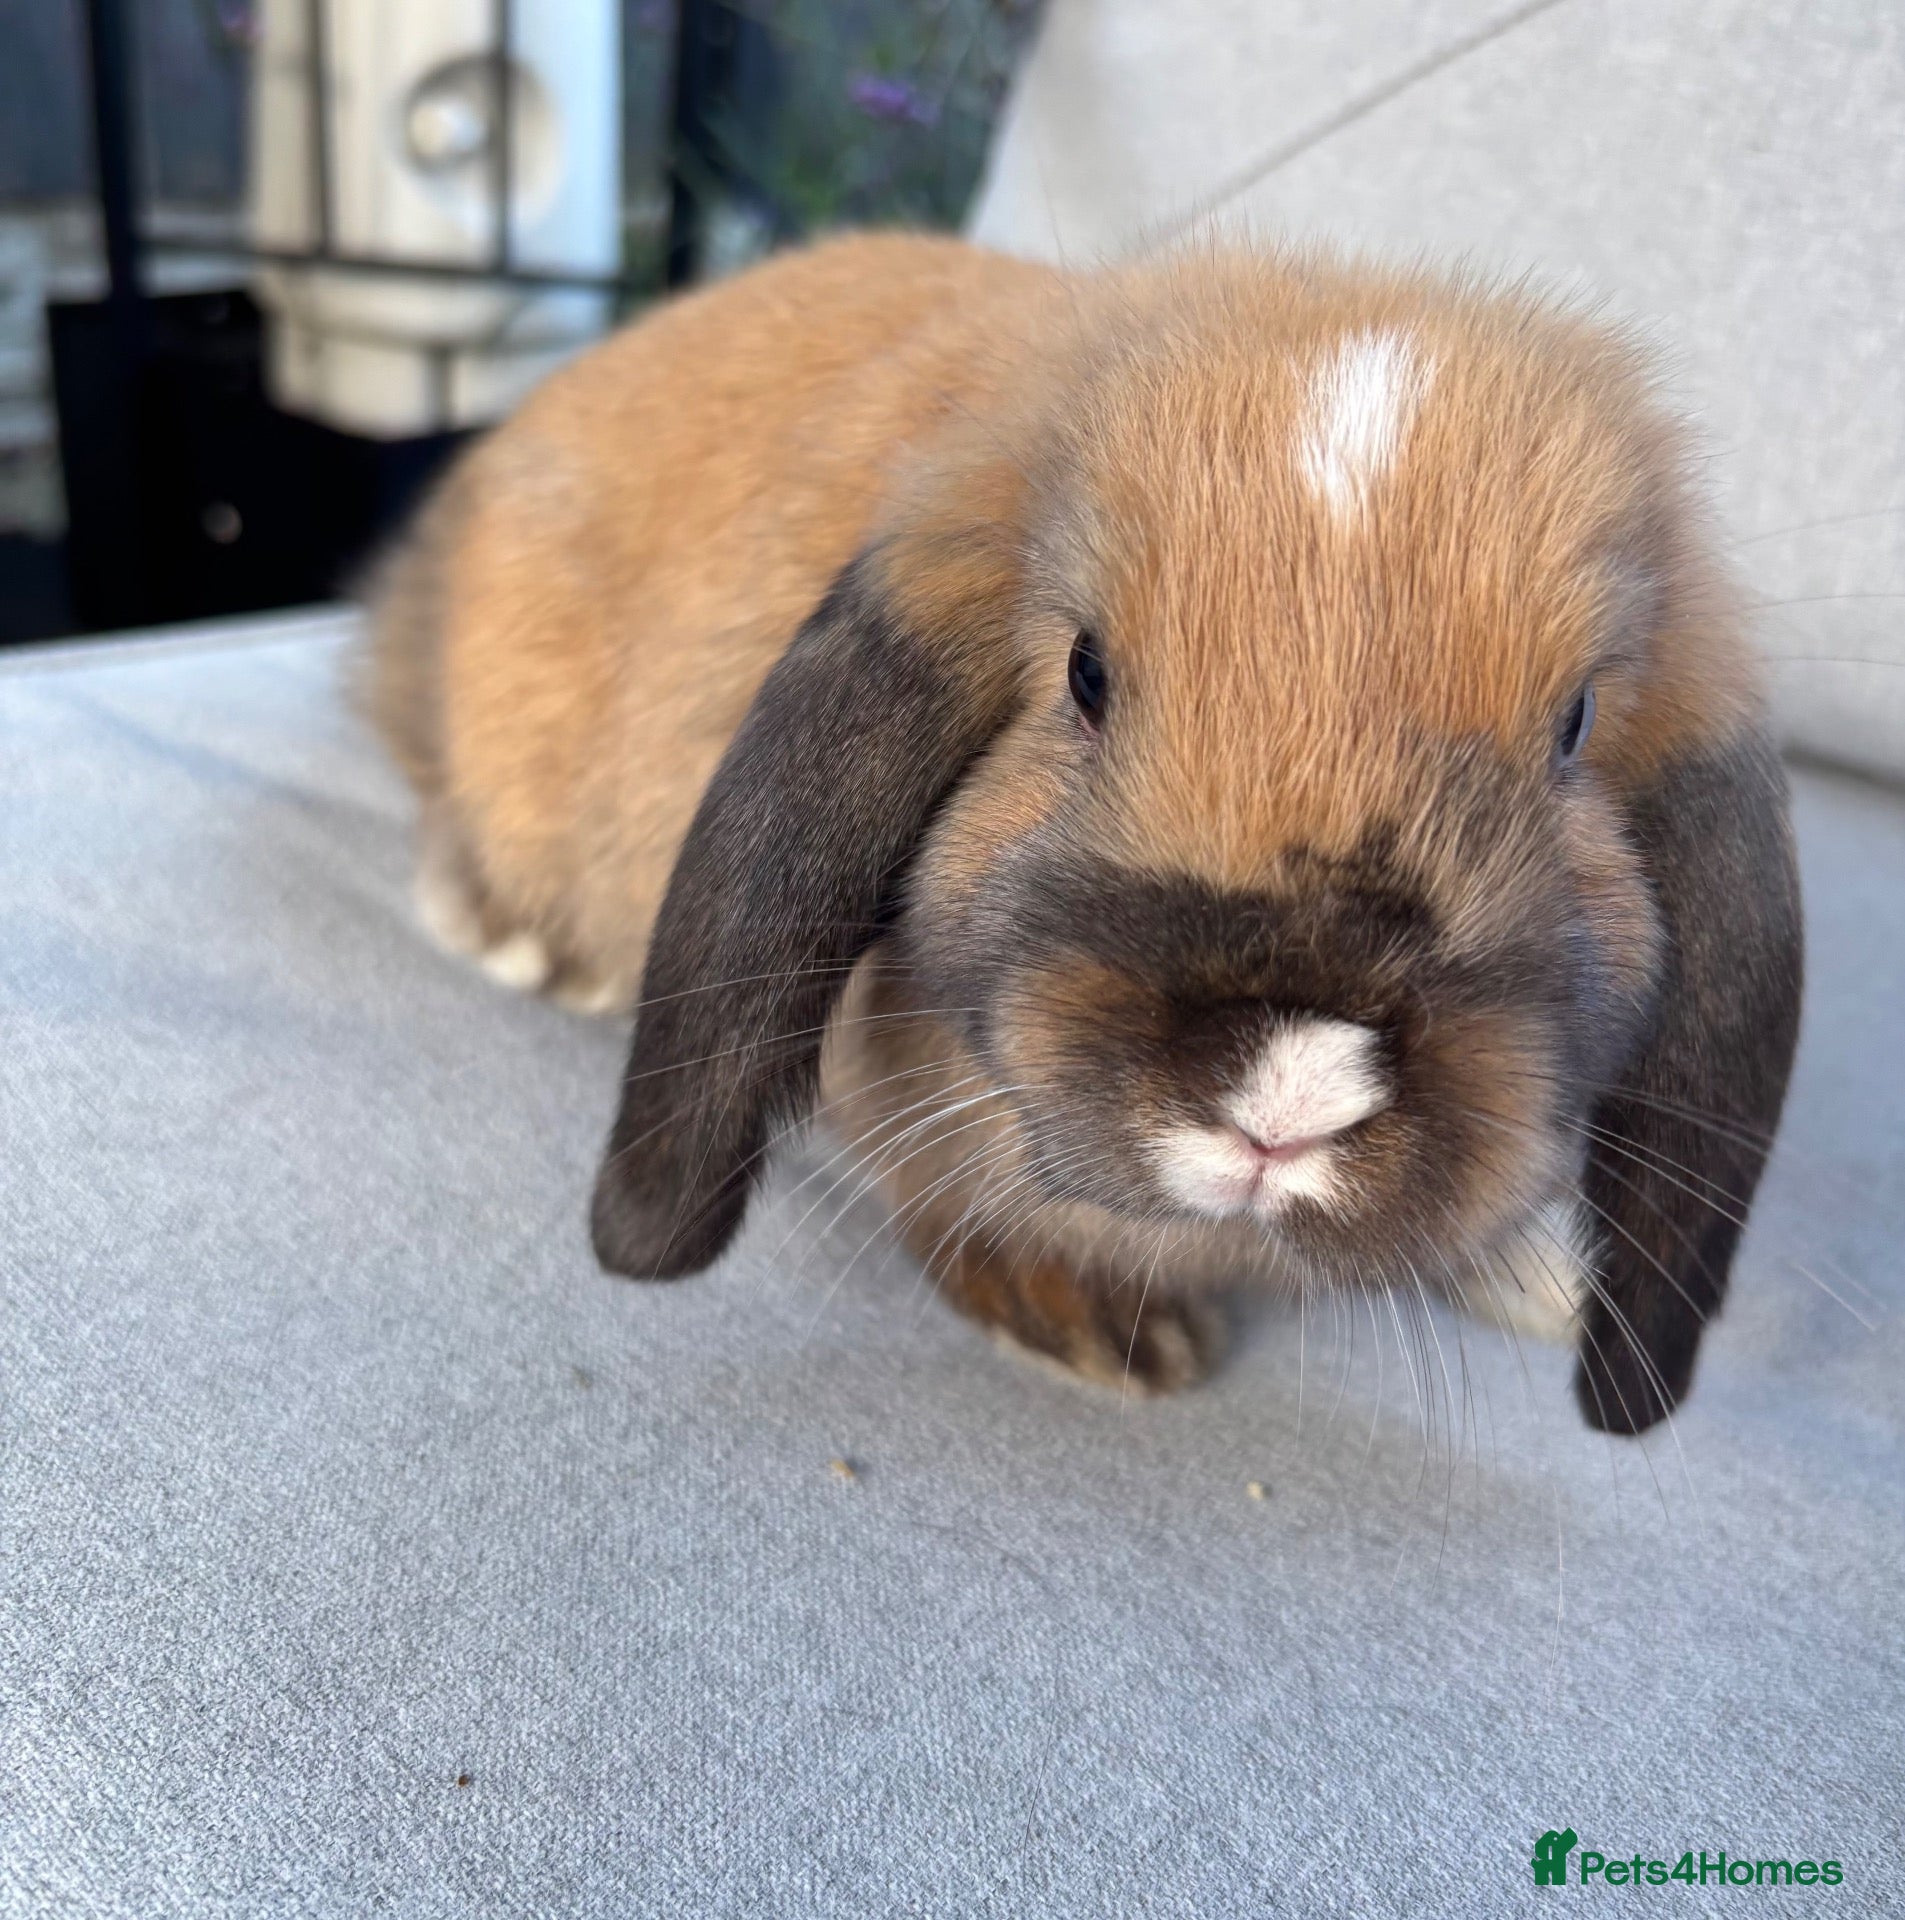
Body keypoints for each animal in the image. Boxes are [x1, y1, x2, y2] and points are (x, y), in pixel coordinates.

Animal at [364, 232, 1802, 1435]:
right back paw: (529, 950)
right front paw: (1102, 1334)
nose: (1287, 1086)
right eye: (1084, 675)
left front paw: (1539, 1282)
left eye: (1575, 728)